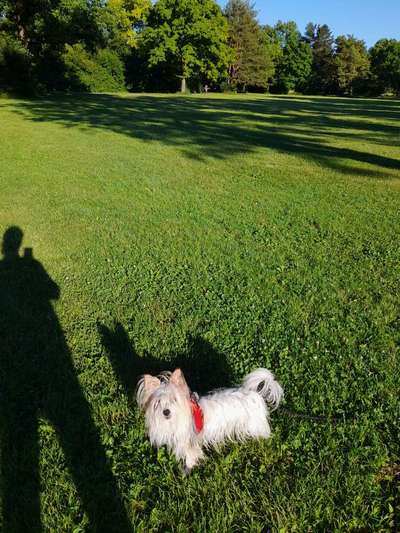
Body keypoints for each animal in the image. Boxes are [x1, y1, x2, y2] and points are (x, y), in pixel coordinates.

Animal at [136, 366, 282, 470]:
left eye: (174, 400)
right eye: (158, 402)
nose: (166, 412)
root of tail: (254, 393)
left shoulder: (189, 444)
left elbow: (190, 458)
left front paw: (187, 471)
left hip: (255, 425)